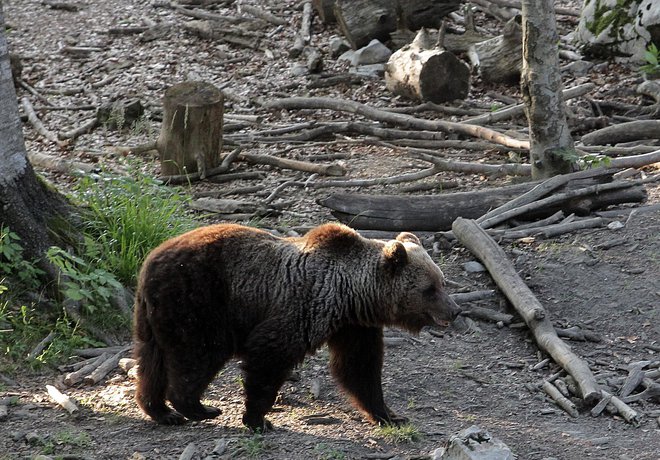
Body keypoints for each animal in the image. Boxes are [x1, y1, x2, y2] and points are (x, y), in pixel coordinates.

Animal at [133, 223, 458, 432]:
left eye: (442, 282)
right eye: (430, 289)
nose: (454, 310)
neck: (351, 294)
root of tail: (150, 260)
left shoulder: (353, 326)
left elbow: (359, 368)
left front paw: (389, 415)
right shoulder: (302, 306)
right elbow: (269, 355)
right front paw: (258, 419)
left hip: (155, 316)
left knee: (152, 361)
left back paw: (160, 411)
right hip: (199, 300)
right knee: (199, 354)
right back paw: (197, 407)